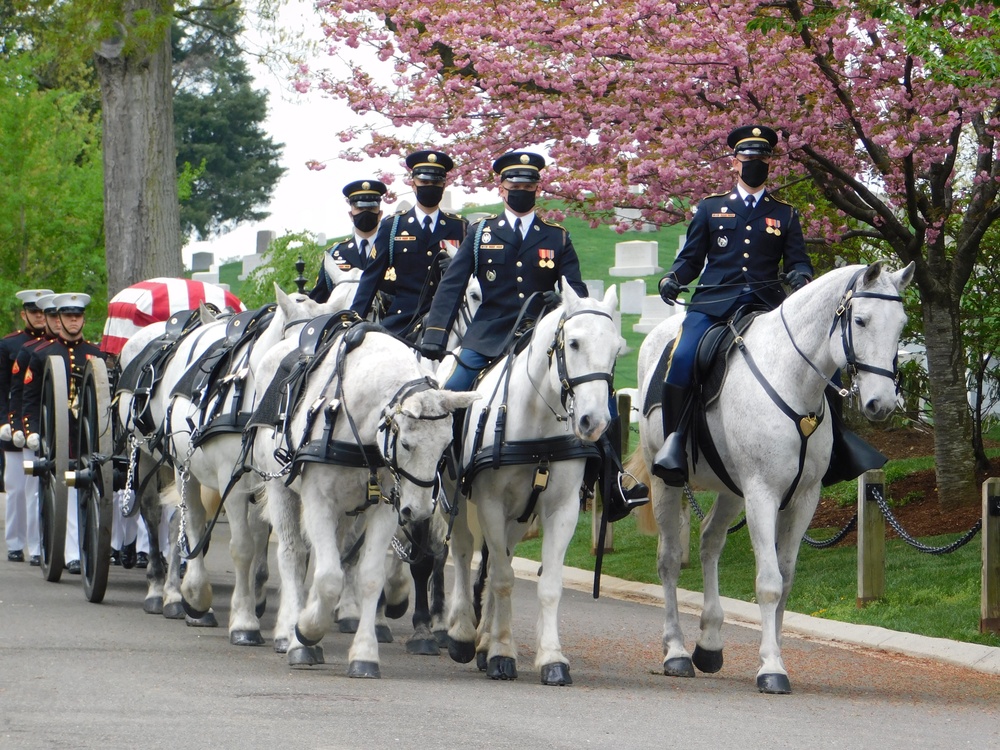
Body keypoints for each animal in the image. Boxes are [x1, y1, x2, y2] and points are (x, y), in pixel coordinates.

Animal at [246, 320, 476, 680]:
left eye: (445, 446)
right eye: (406, 444)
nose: (419, 510)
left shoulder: (385, 508)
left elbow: (368, 576)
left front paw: (365, 653)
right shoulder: (317, 501)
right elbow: (327, 578)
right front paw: (306, 632)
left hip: (347, 511)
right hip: (281, 490)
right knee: (293, 555)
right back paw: (290, 633)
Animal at [448, 282, 620, 688]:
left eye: (617, 349)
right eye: (573, 343)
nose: (594, 422)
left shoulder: (561, 508)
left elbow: (547, 584)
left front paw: (551, 657)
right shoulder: (491, 503)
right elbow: (503, 579)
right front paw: (502, 653)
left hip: (519, 516)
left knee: (500, 558)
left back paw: (484, 639)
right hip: (457, 496)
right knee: (464, 550)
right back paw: (464, 633)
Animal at [632, 262, 916, 696]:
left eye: (901, 324)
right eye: (861, 321)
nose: (881, 404)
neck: (793, 379)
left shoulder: (803, 498)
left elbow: (786, 581)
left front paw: (776, 655)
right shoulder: (762, 493)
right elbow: (768, 582)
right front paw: (770, 668)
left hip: (732, 490)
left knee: (709, 541)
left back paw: (709, 644)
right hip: (668, 483)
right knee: (668, 560)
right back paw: (676, 652)